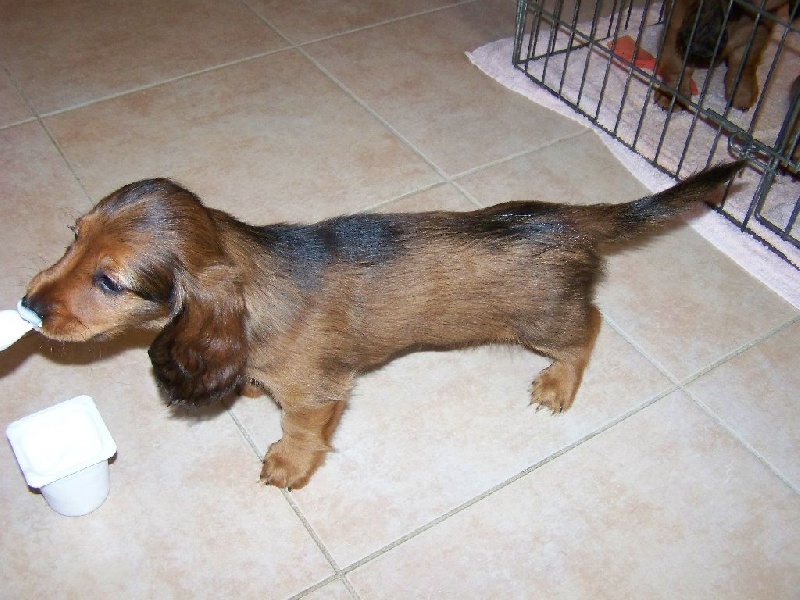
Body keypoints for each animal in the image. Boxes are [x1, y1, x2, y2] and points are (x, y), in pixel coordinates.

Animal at [21, 161, 743, 489]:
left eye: (110, 281)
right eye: (73, 236)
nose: (26, 306)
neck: (254, 271)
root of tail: (567, 217)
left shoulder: (318, 393)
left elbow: (302, 431)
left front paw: (287, 464)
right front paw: (246, 385)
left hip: (545, 319)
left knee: (589, 327)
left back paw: (559, 383)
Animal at [655, 0, 790, 111]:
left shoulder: (757, 34)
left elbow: (745, 64)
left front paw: (742, 92)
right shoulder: (676, 24)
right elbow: (677, 66)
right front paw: (672, 95)